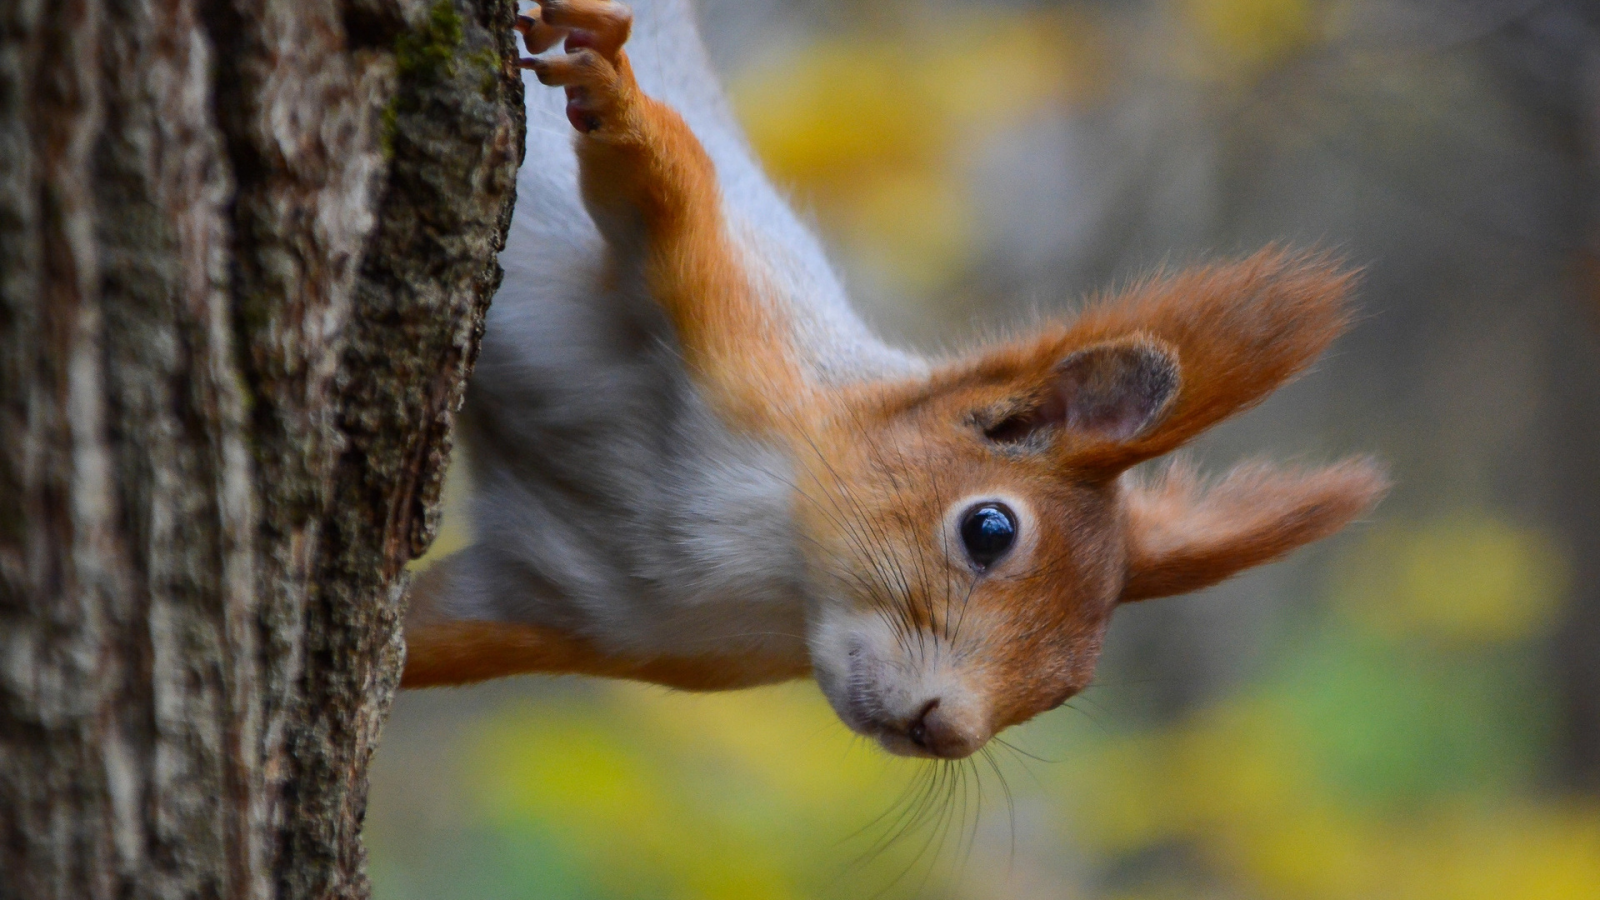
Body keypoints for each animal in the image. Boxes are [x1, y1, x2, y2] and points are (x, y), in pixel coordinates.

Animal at [400, 0, 1388, 755]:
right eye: (989, 529)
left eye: (1069, 687)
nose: (943, 732)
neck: (766, 556)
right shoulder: (734, 319)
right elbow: (662, 187)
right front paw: (614, 89)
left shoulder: (569, 606)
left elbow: (419, 639)